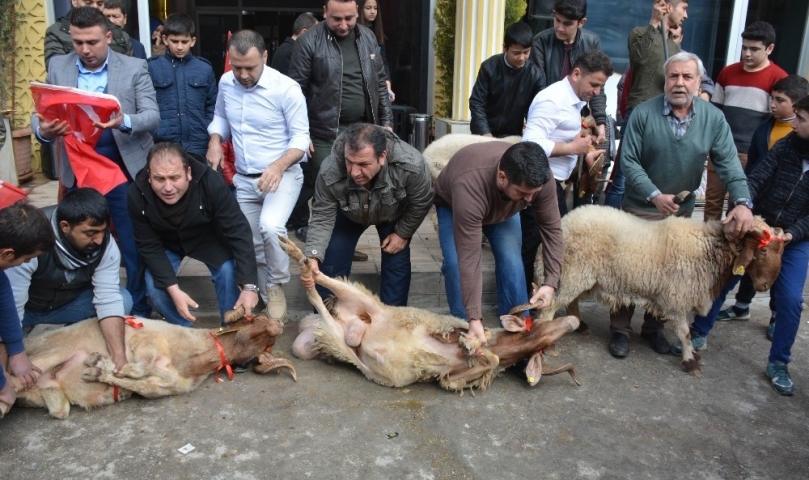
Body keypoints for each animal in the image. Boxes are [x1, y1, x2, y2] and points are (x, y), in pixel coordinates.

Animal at [0, 312, 296, 420]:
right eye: (254, 319)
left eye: (269, 346)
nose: (278, 324)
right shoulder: (141, 342)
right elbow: (136, 367)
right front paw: (101, 364)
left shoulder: (163, 387)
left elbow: (137, 381)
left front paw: (99, 369)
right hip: (45, 354)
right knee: (13, 379)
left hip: (52, 394)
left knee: (56, 409)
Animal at [280, 235, 580, 394]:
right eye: (533, 326)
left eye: (544, 351)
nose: (573, 321)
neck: (501, 346)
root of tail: (344, 317)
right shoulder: (447, 326)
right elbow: (480, 349)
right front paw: (469, 344)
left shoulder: (453, 378)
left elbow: (486, 362)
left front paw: (474, 351)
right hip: (358, 301)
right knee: (318, 281)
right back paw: (294, 252)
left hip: (337, 337)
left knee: (316, 293)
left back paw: (300, 263)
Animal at [532, 205, 784, 376]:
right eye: (762, 251)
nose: (765, 286)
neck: (708, 248)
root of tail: (565, 219)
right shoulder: (677, 297)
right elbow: (685, 332)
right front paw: (690, 361)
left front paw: (691, 356)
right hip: (573, 272)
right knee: (550, 306)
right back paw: (548, 342)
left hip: (585, 278)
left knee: (570, 301)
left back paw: (579, 323)